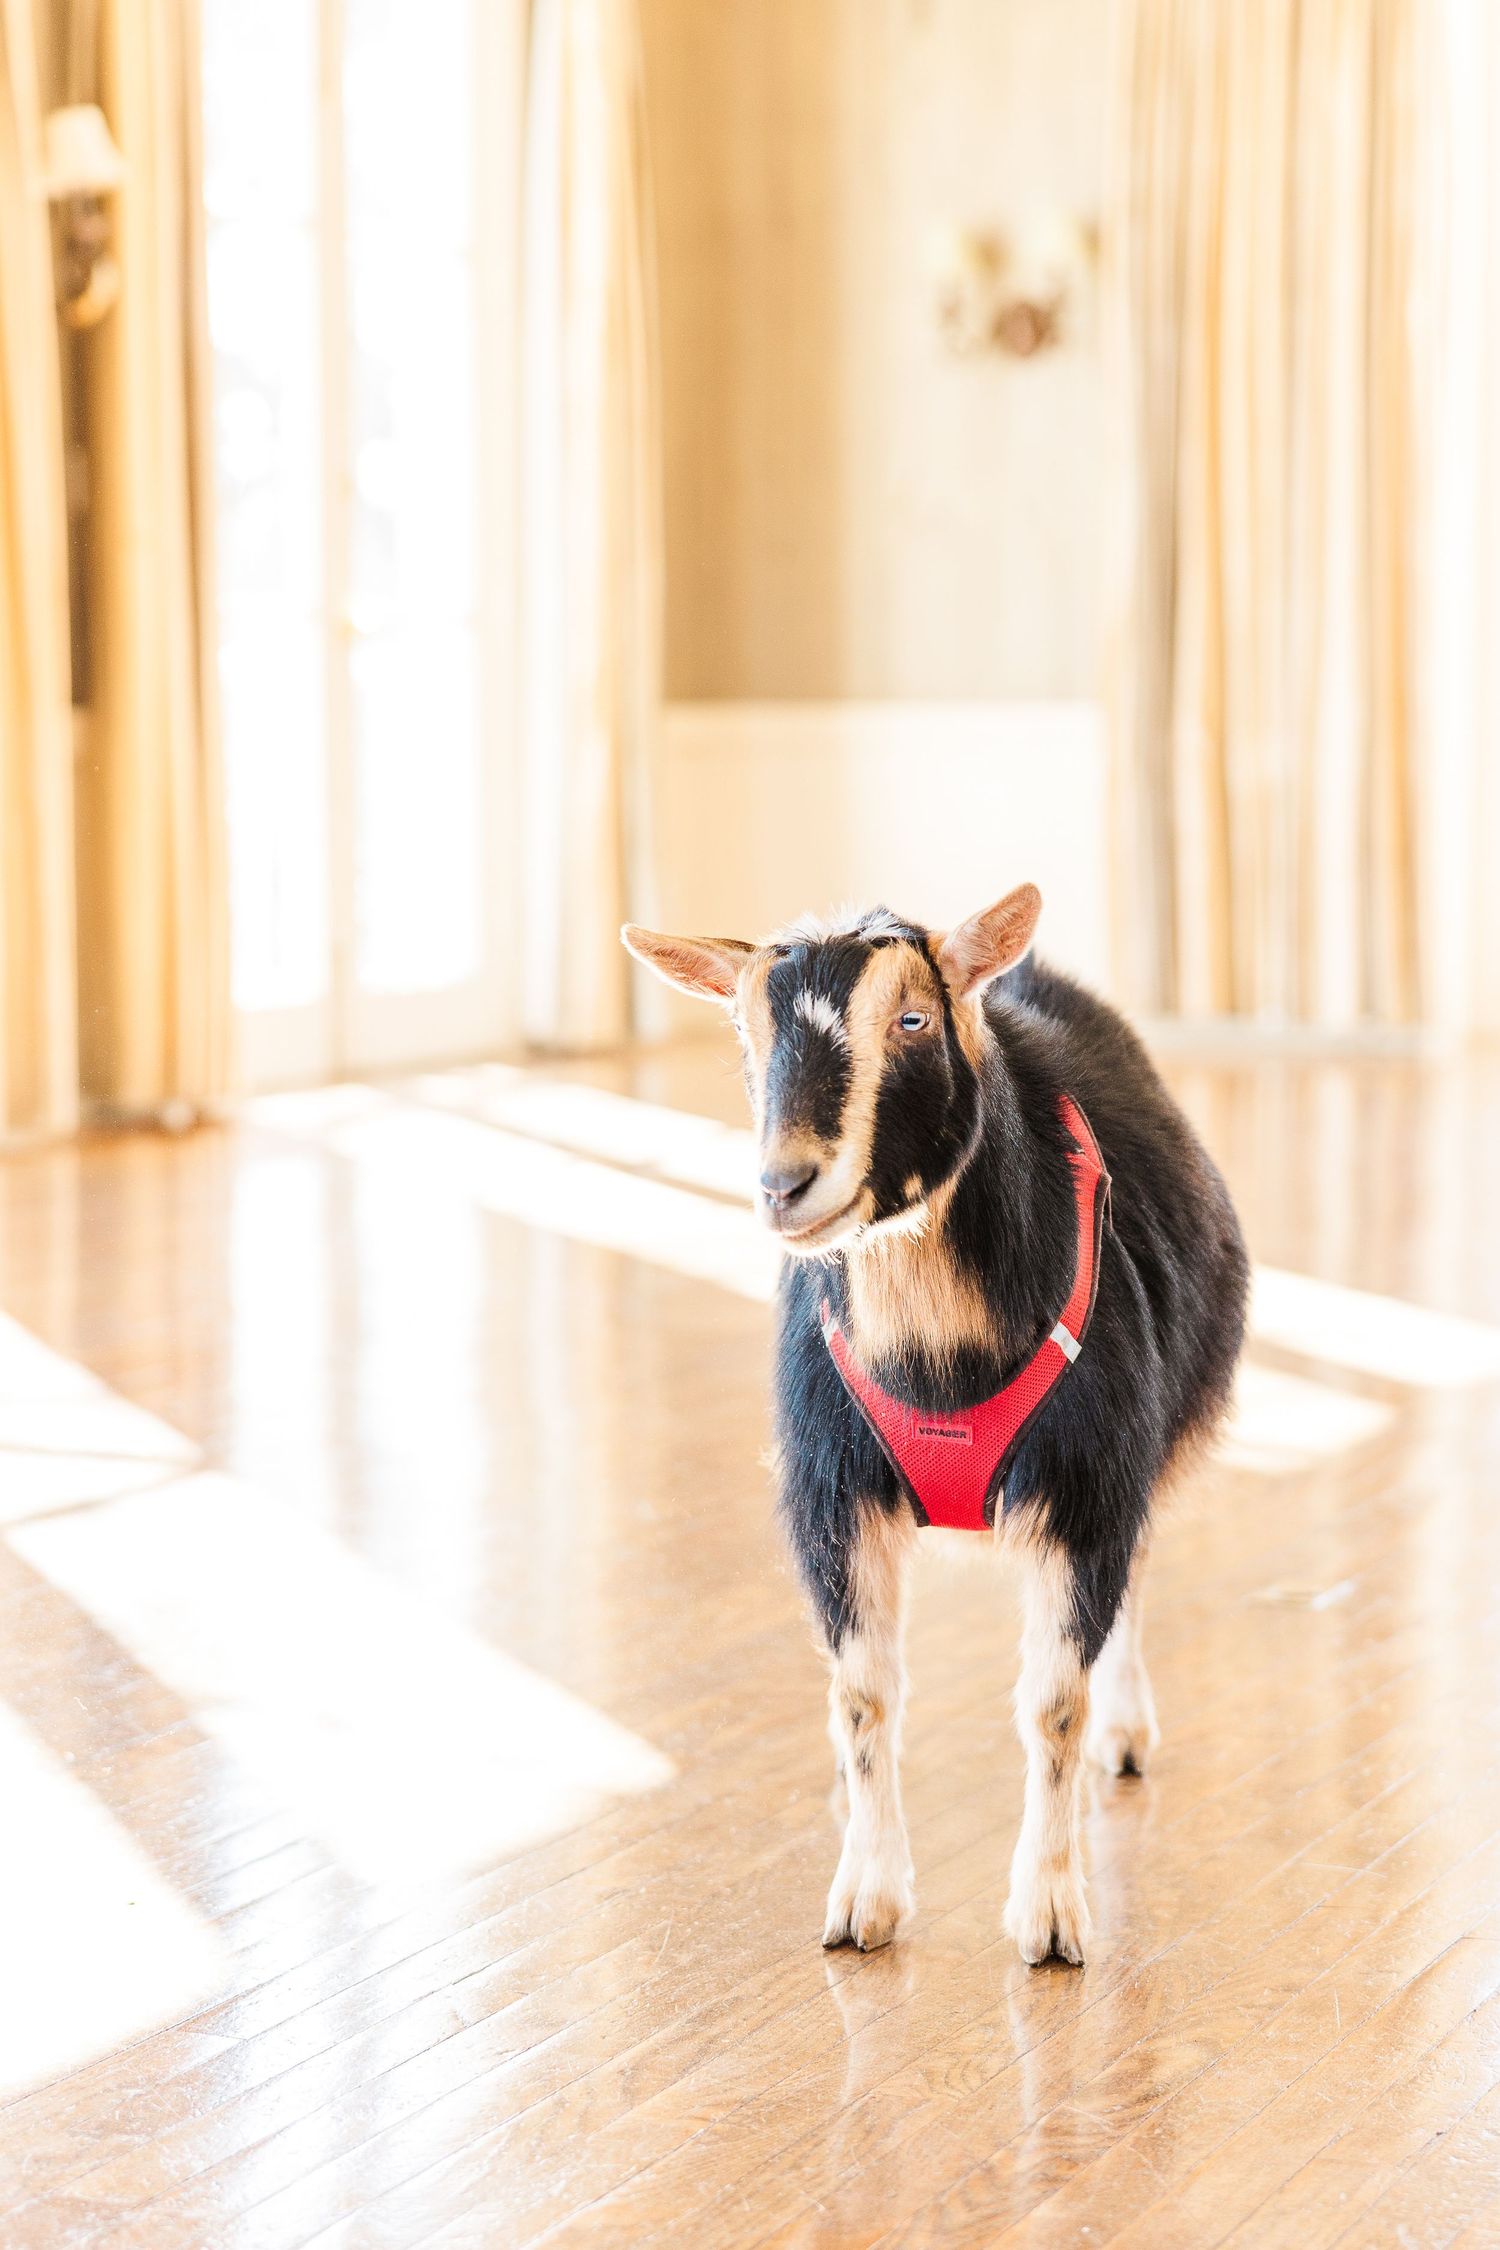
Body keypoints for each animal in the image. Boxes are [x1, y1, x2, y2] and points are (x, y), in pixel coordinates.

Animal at [623, 886, 1248, 1965]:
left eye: (911, 1020)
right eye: (746, 1032)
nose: (785, 1185)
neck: (936, 1365)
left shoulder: (1085, 1484)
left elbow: (1055, 1701)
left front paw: (1050, 1911)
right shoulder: (834, 1496)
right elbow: (863, 1694)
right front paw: (865, 1895)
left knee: (1131, 1582)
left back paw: (1125, 1734)